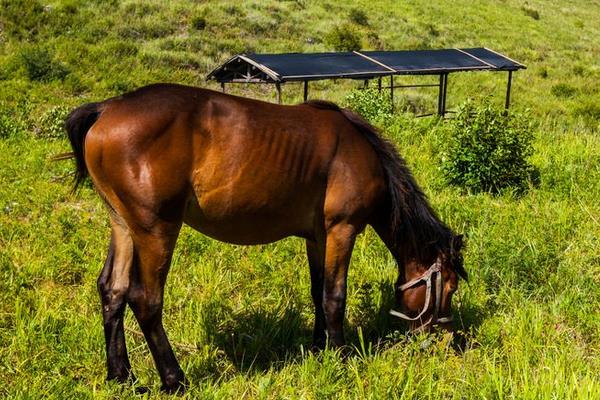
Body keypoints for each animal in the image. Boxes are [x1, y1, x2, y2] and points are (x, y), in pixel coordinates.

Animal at [67, 83, 468, 392]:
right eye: (449, 287)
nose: (449, 342)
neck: (362, 154)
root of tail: (106, 109)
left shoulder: (317, 237)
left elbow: (318, 293)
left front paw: (319, 349)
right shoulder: (343, 229)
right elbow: (335, 296)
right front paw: (340, 356)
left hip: (124, 226)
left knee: (113, 291)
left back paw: (122, 376)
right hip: (156, 229)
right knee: (145, 300)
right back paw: (174, 379)